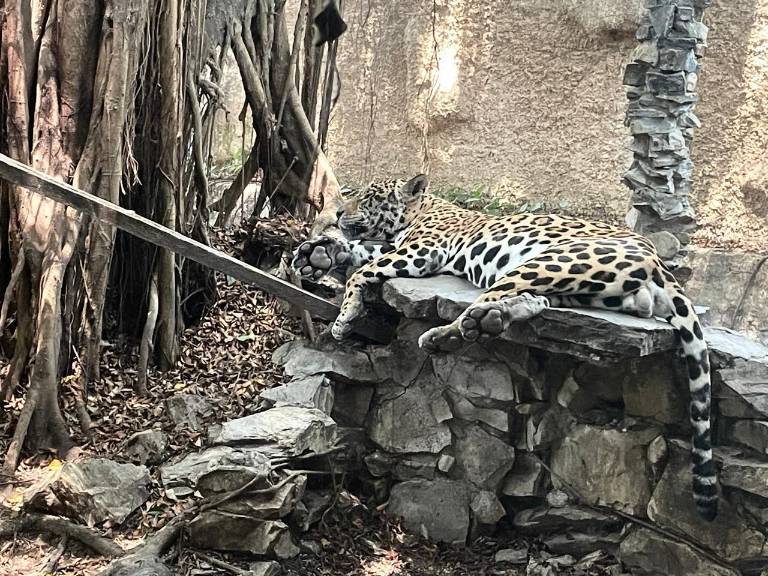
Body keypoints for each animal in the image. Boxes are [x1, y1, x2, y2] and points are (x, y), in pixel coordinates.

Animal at [292, 174, 717, 521]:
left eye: (370, 196)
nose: (338, 213)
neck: (422, 211)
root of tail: (660, 262)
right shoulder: (399, 249)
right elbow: (363, 253)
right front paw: (319, 252)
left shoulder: (422, 251)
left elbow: (363, 270)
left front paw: (345, 315)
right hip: (578, 288)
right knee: (533, 302)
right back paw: (489, 320)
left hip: (551, 262)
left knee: (488, 301)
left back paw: (448, 334)